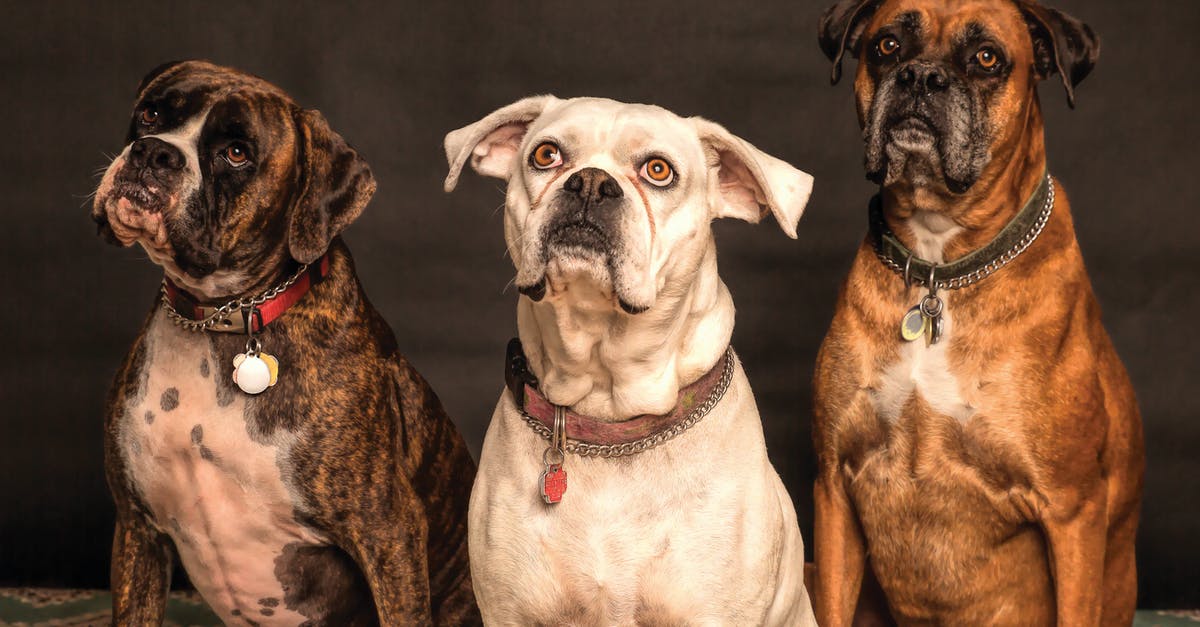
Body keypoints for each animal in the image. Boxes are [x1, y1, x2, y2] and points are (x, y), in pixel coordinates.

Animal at [91, 59, 480, 624]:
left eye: (236, 153)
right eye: (152, 114)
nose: (154, 153)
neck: (219, 318)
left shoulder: (389, 532)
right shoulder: (138, 529)